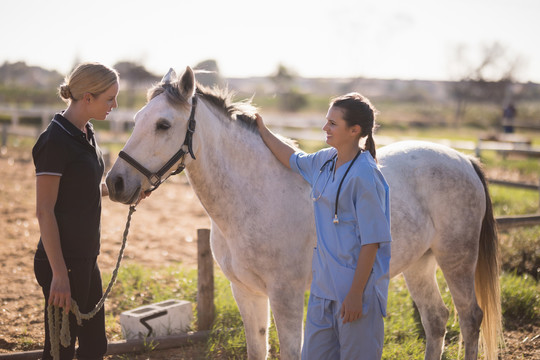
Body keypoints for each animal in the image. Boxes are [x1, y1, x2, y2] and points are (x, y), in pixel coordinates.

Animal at [105, 67, 502, 360]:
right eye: (136, 119)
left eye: (163, 125)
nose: (115, 182)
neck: (254, 196)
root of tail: (464, 160)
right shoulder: (245, 292)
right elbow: (257, 350)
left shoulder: (286, 295)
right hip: (420, 264)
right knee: (436, 320)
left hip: (456, 259)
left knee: (470, 319)